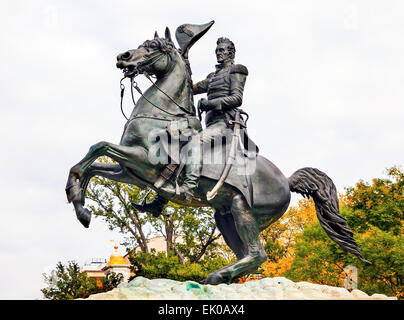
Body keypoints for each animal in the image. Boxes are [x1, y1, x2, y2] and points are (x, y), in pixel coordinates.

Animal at [65, 26, 370, 284]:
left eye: (152, 46)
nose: (122, 57)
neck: (163, 114)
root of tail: (286, 180)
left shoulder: (141, 160)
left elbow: (98, 147)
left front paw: (76, 199)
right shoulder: (132, 172)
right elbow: (92, 166)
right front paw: (81, 208)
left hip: (242, 210)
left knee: (257, 254)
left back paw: (215, 276)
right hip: (224, 216)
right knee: (247, 254)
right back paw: (220, 277)